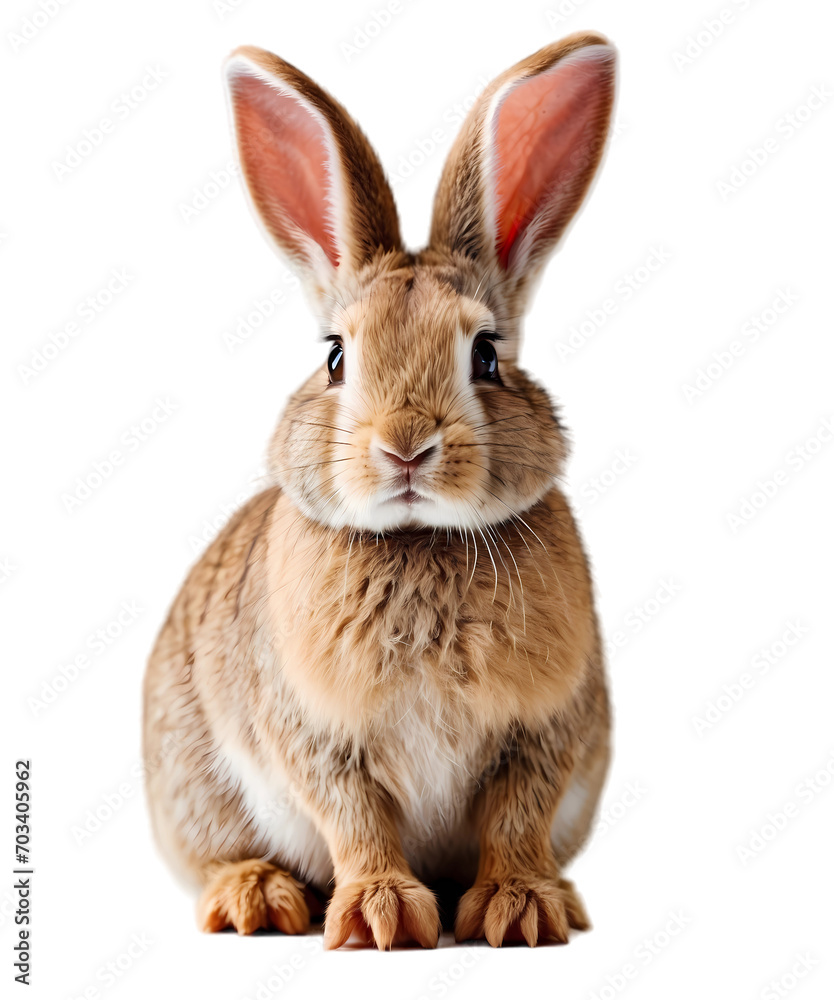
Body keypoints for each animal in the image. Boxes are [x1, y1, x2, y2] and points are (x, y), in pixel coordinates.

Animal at [143, 31, 617, 950]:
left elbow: (519, 814)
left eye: (486, 356)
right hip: (195, 781)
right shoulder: (318, 734)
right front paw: (381, 914)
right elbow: (355, 816)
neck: (420, 541)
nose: (405, 447)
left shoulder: (546, 729)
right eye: (336, 357)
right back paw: (258, 897)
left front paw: (521, 908)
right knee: (221, 853)